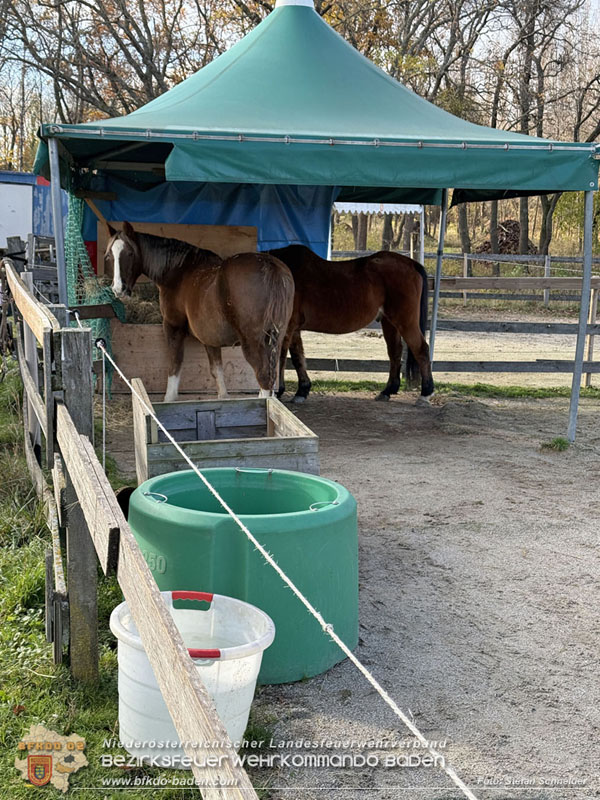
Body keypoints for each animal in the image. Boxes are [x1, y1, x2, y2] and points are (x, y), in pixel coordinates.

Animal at [104, 222, 294, 401]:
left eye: (130, 253)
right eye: (109, 256)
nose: (118, 289)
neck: (179, 271)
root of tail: (271, 267)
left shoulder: (173, 327)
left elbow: (174, 364)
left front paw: (169, 398)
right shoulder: (210, 339)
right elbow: (217, 372)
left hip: (253, 343)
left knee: (264, 379)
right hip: (275, 341)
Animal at [269, 245, 433, 404]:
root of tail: (412, 264)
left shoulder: (286, 327)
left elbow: (281, 357)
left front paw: (278, 391)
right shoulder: (294, 329)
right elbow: (297, 358)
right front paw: (302, 391)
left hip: (405, 321)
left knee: (421, 350)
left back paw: (425, 394)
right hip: (389, 322)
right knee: (395, 352)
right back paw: (387, 391)